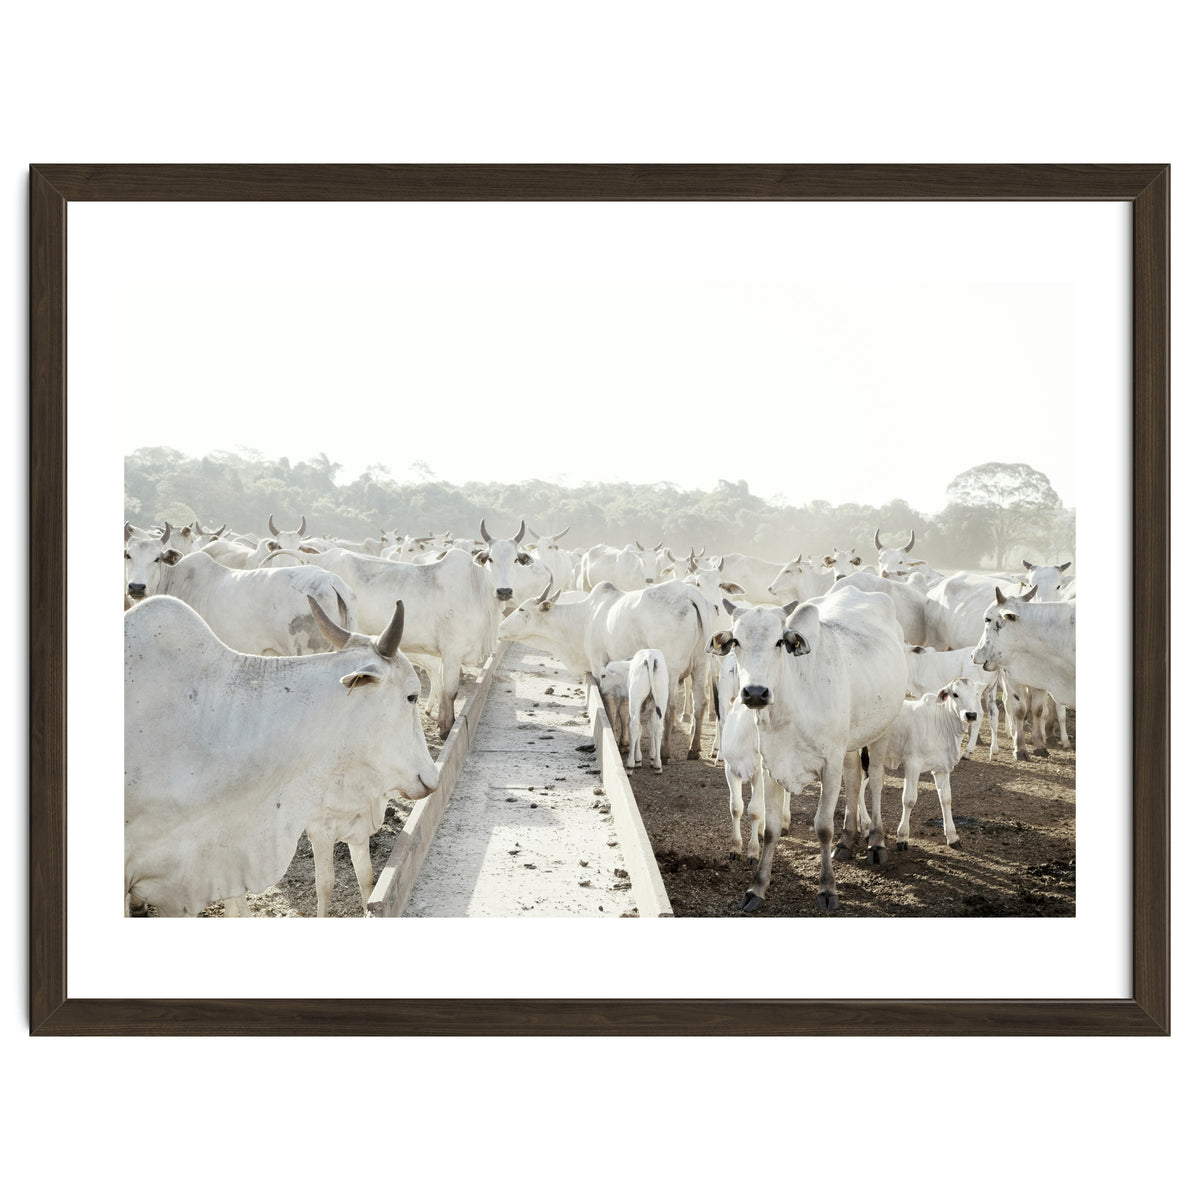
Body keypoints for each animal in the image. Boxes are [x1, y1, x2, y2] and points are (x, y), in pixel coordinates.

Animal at [498, 579, 712, 760]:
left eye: (521, 609)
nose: (500, 629)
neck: (584, 618)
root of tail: (687, 592)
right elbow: (624, 709)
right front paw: (624, 743)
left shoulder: (598, 665)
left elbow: (609, 705)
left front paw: (614, 738)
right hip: (701, 665)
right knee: (701, 702)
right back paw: (694, 749)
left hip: (670, 671)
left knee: (670, 707)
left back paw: (665, 751)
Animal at [709, 588, 907, 912]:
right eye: (736, 641)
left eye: (779, 641)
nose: (755, 693)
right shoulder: (771, 767)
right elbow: (770, 829)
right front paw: (756, 888)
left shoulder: (829, 764)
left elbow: (823, 827)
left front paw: (827, 889)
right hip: (848, 744)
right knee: (854, 779)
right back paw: (847, 840)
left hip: (883, 728)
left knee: (876, 779)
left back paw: (876, 842)